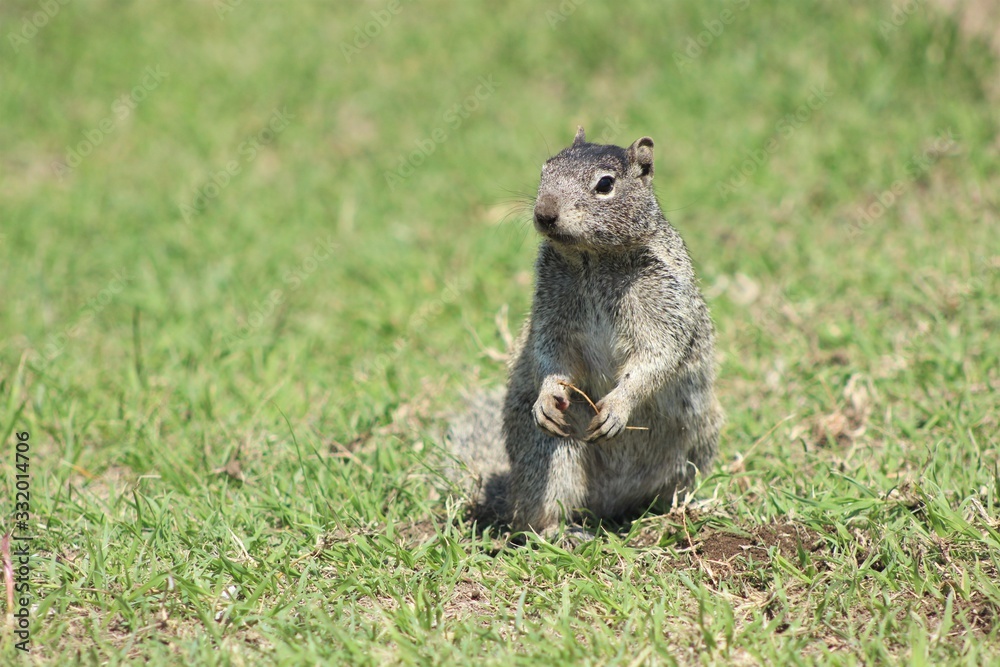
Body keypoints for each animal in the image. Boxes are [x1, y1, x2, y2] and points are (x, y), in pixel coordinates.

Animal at [447, 127, 724, 533]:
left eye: (605, 184)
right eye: (544, 169)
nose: (544, 212)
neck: (591, 258)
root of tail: (610, 505)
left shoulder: (663, 303)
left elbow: (657, 355)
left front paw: (618, 406)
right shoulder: (551, 310)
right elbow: (549, 352)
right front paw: (548, 396)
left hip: (697, 444)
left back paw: (673, 514)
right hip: (549, 457)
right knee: (534, 516)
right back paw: (563, 532)